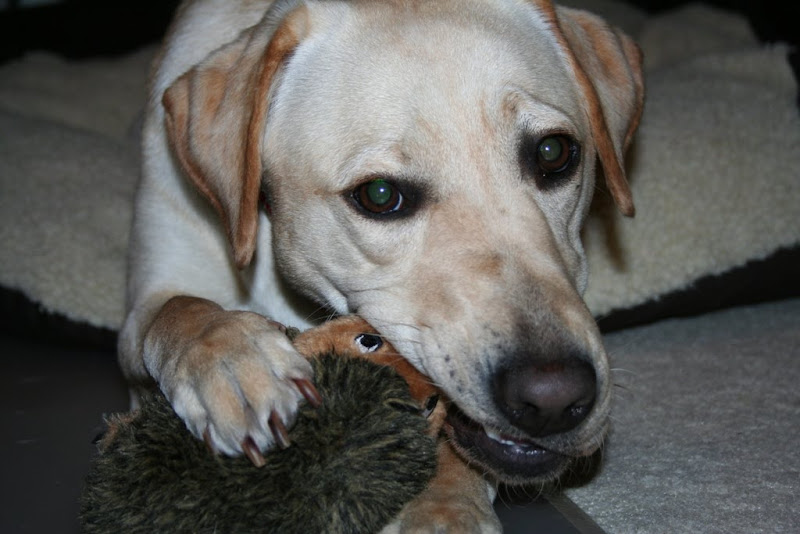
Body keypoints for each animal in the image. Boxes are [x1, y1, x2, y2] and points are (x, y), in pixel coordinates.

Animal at [120, 1, 644, 532]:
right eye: (379, 194)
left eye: (553, 153)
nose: (554, 399)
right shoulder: (148, 304)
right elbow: (184, 310)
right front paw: (234, 362)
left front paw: (444, 506)